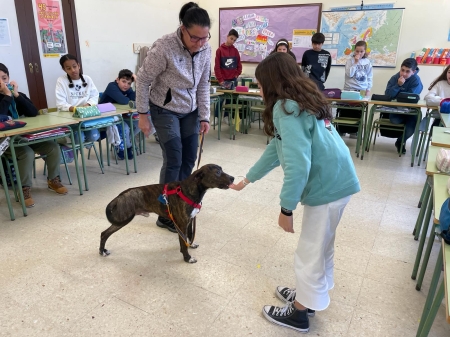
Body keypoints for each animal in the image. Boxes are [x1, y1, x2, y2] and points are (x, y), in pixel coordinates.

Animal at [100, 163, 234, 262]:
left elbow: (190, 236)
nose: (233, 178)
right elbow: (183, 243)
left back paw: (102, 251)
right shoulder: (181, 225)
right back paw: (102, 251)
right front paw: (187, 258)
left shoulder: (189, 221)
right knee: (104, 233)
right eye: (218, 172)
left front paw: (191, 245)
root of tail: (120, 196)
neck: (188, 191)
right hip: (124, 218)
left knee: (104, 233)